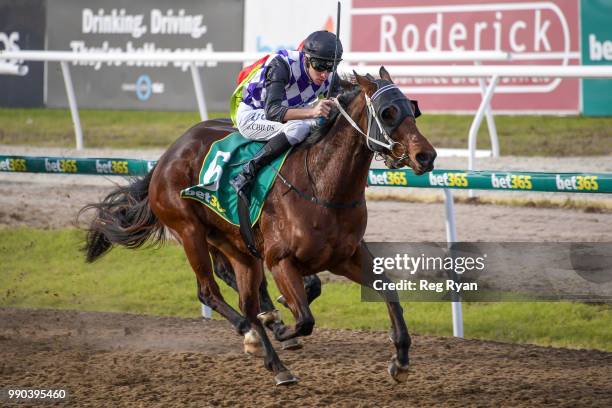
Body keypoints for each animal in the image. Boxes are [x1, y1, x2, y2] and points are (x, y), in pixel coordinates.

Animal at [80, 67, 436, 386]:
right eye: (388, 113)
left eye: (413, 109)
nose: (426, 156)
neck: (322, 186)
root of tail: (165, 158)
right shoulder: (280, 261)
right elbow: (304, 319)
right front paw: (282, 328)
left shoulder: (345, 256)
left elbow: (387, 290)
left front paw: (401, 359)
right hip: (190, 232)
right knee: (211, 293)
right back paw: (258, 339)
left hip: (238, 248)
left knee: (244, 300)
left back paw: (271, 353)